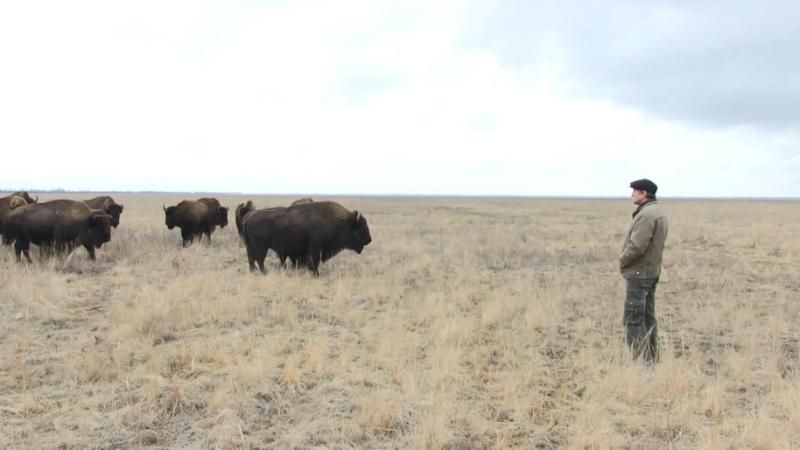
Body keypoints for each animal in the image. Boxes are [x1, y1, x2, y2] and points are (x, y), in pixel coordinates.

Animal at [244, 200, 372, 274]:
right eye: (360, 227)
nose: (369, 240)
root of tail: (249, 217)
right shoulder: (315, 247)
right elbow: (315, 261)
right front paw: (316, 274)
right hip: (261, 246)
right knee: (259, 259)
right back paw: (265, 272)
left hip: (250, 246)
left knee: (251, 259)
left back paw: (254, 272)